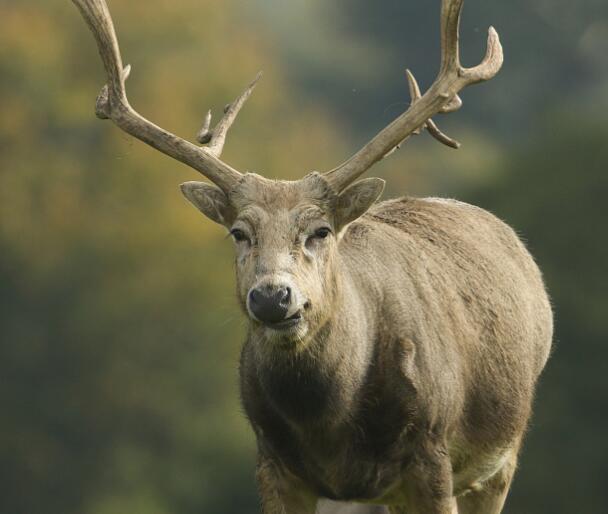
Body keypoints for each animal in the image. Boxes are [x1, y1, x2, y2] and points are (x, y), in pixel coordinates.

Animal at [72, 1, 556, 512]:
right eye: (239, 233)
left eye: (320, 231)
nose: (272, 297)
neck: (330, 427)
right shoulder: (272, 461)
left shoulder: (432, 452)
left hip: (500, 458)